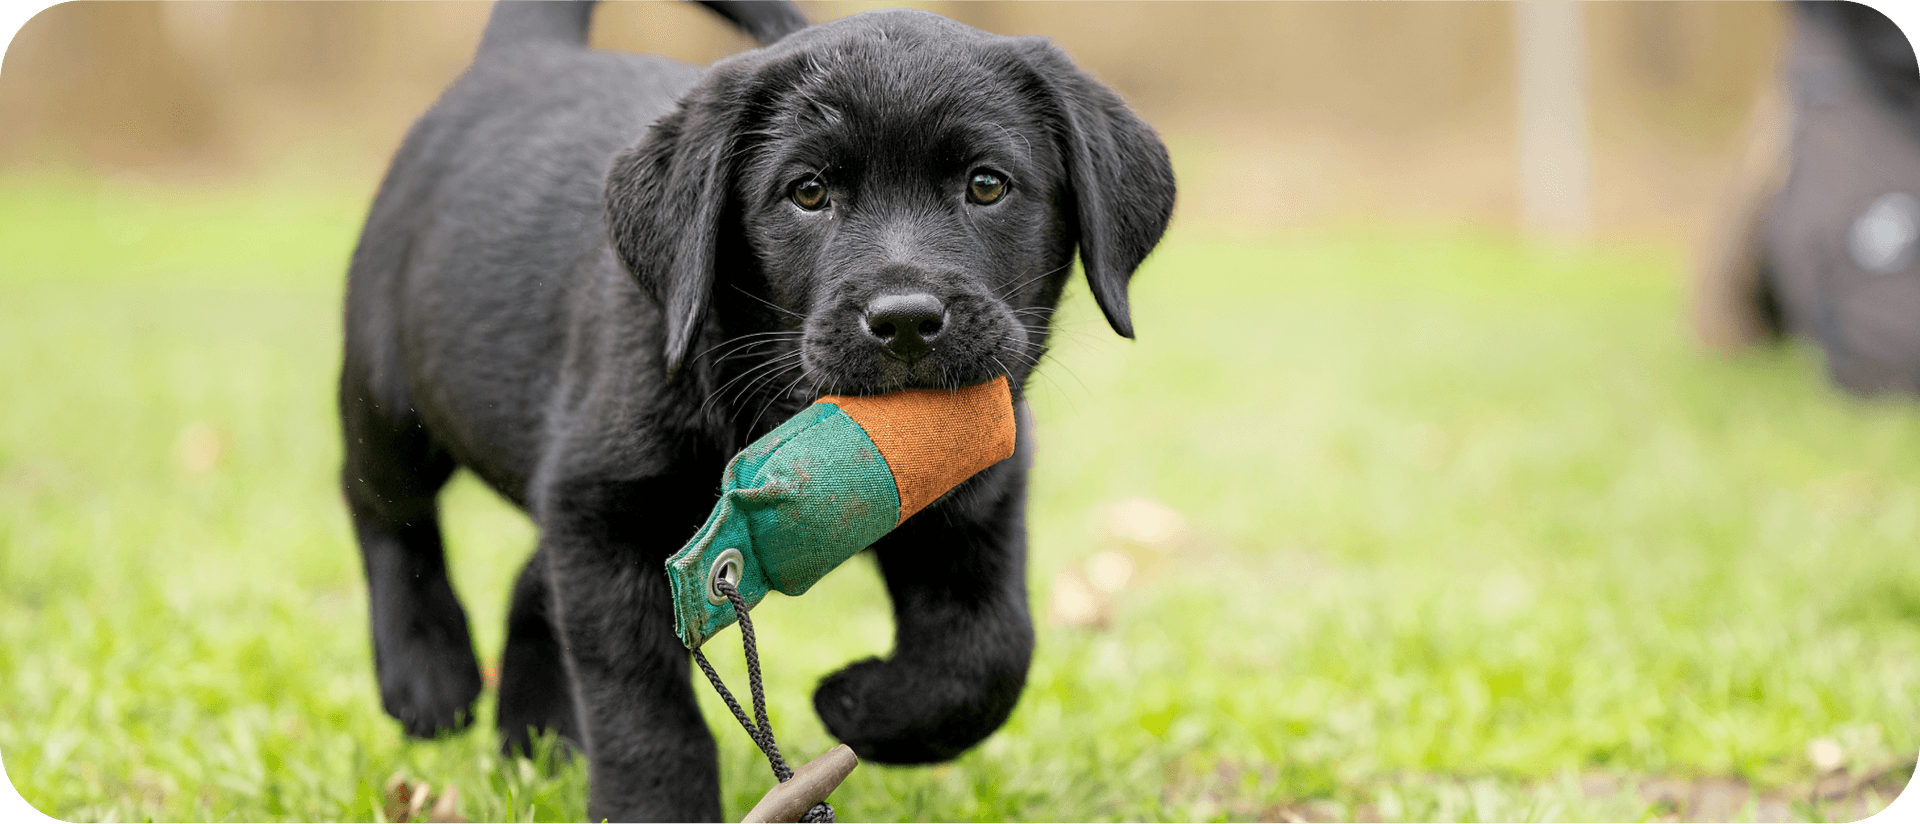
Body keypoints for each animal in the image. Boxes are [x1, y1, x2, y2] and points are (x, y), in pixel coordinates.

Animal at [341, 1, 1167, 814]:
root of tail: (521, 54)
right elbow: (641, 706)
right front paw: (656, 807)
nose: (905, 321)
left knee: (528, 584)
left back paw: (538, 745)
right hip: (389, 394)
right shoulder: (600, 502)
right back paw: (428, 677)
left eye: (988, 185)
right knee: (384, 508)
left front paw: (859, 706)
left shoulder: (975, 506)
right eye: (808, 192)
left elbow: (988, 655)